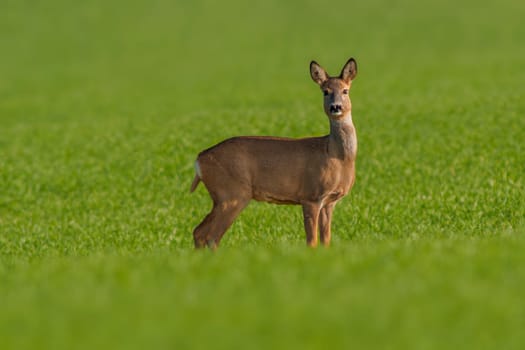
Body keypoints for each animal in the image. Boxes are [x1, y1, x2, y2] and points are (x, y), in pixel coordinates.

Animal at [190, 58, 358, 249]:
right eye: (325, 91)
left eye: (345, 90)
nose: (335, 107)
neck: (335, 156)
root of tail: (199, 160)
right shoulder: (311, 196)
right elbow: (311, 241)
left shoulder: (329, 202)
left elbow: (326, 241)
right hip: (231, 193)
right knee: (211, 235)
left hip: (223, 196)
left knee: (199, 232)